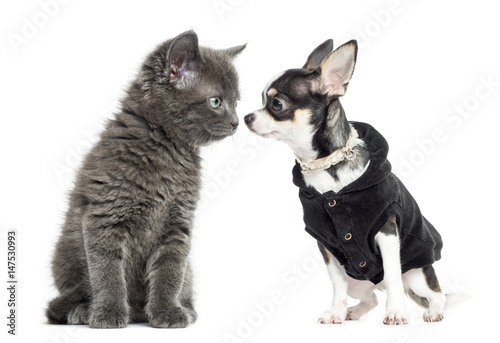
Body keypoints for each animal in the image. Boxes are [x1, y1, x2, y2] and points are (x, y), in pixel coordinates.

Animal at [46, 30, 245, 330]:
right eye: (216, 101)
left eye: (237, 102)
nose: (236, 122)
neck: (167, 151)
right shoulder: (104, 216)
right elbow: (107, 271)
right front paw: (108, 313)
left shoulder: (178, 222)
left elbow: (170, 272)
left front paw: (167, 311)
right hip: (64, 252)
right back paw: (82, 311)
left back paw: (184, 309)